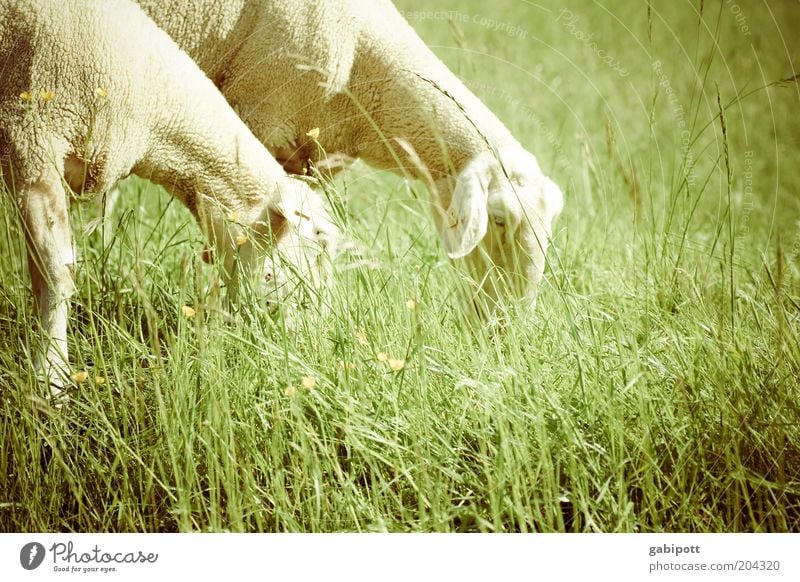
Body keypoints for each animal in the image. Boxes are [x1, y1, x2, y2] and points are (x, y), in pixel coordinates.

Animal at [0, 0, 338, 396]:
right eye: (273, 274)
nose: (307, 356)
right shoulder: (31, 141)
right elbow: (57, 271)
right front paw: (50, 378)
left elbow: (42, 272)